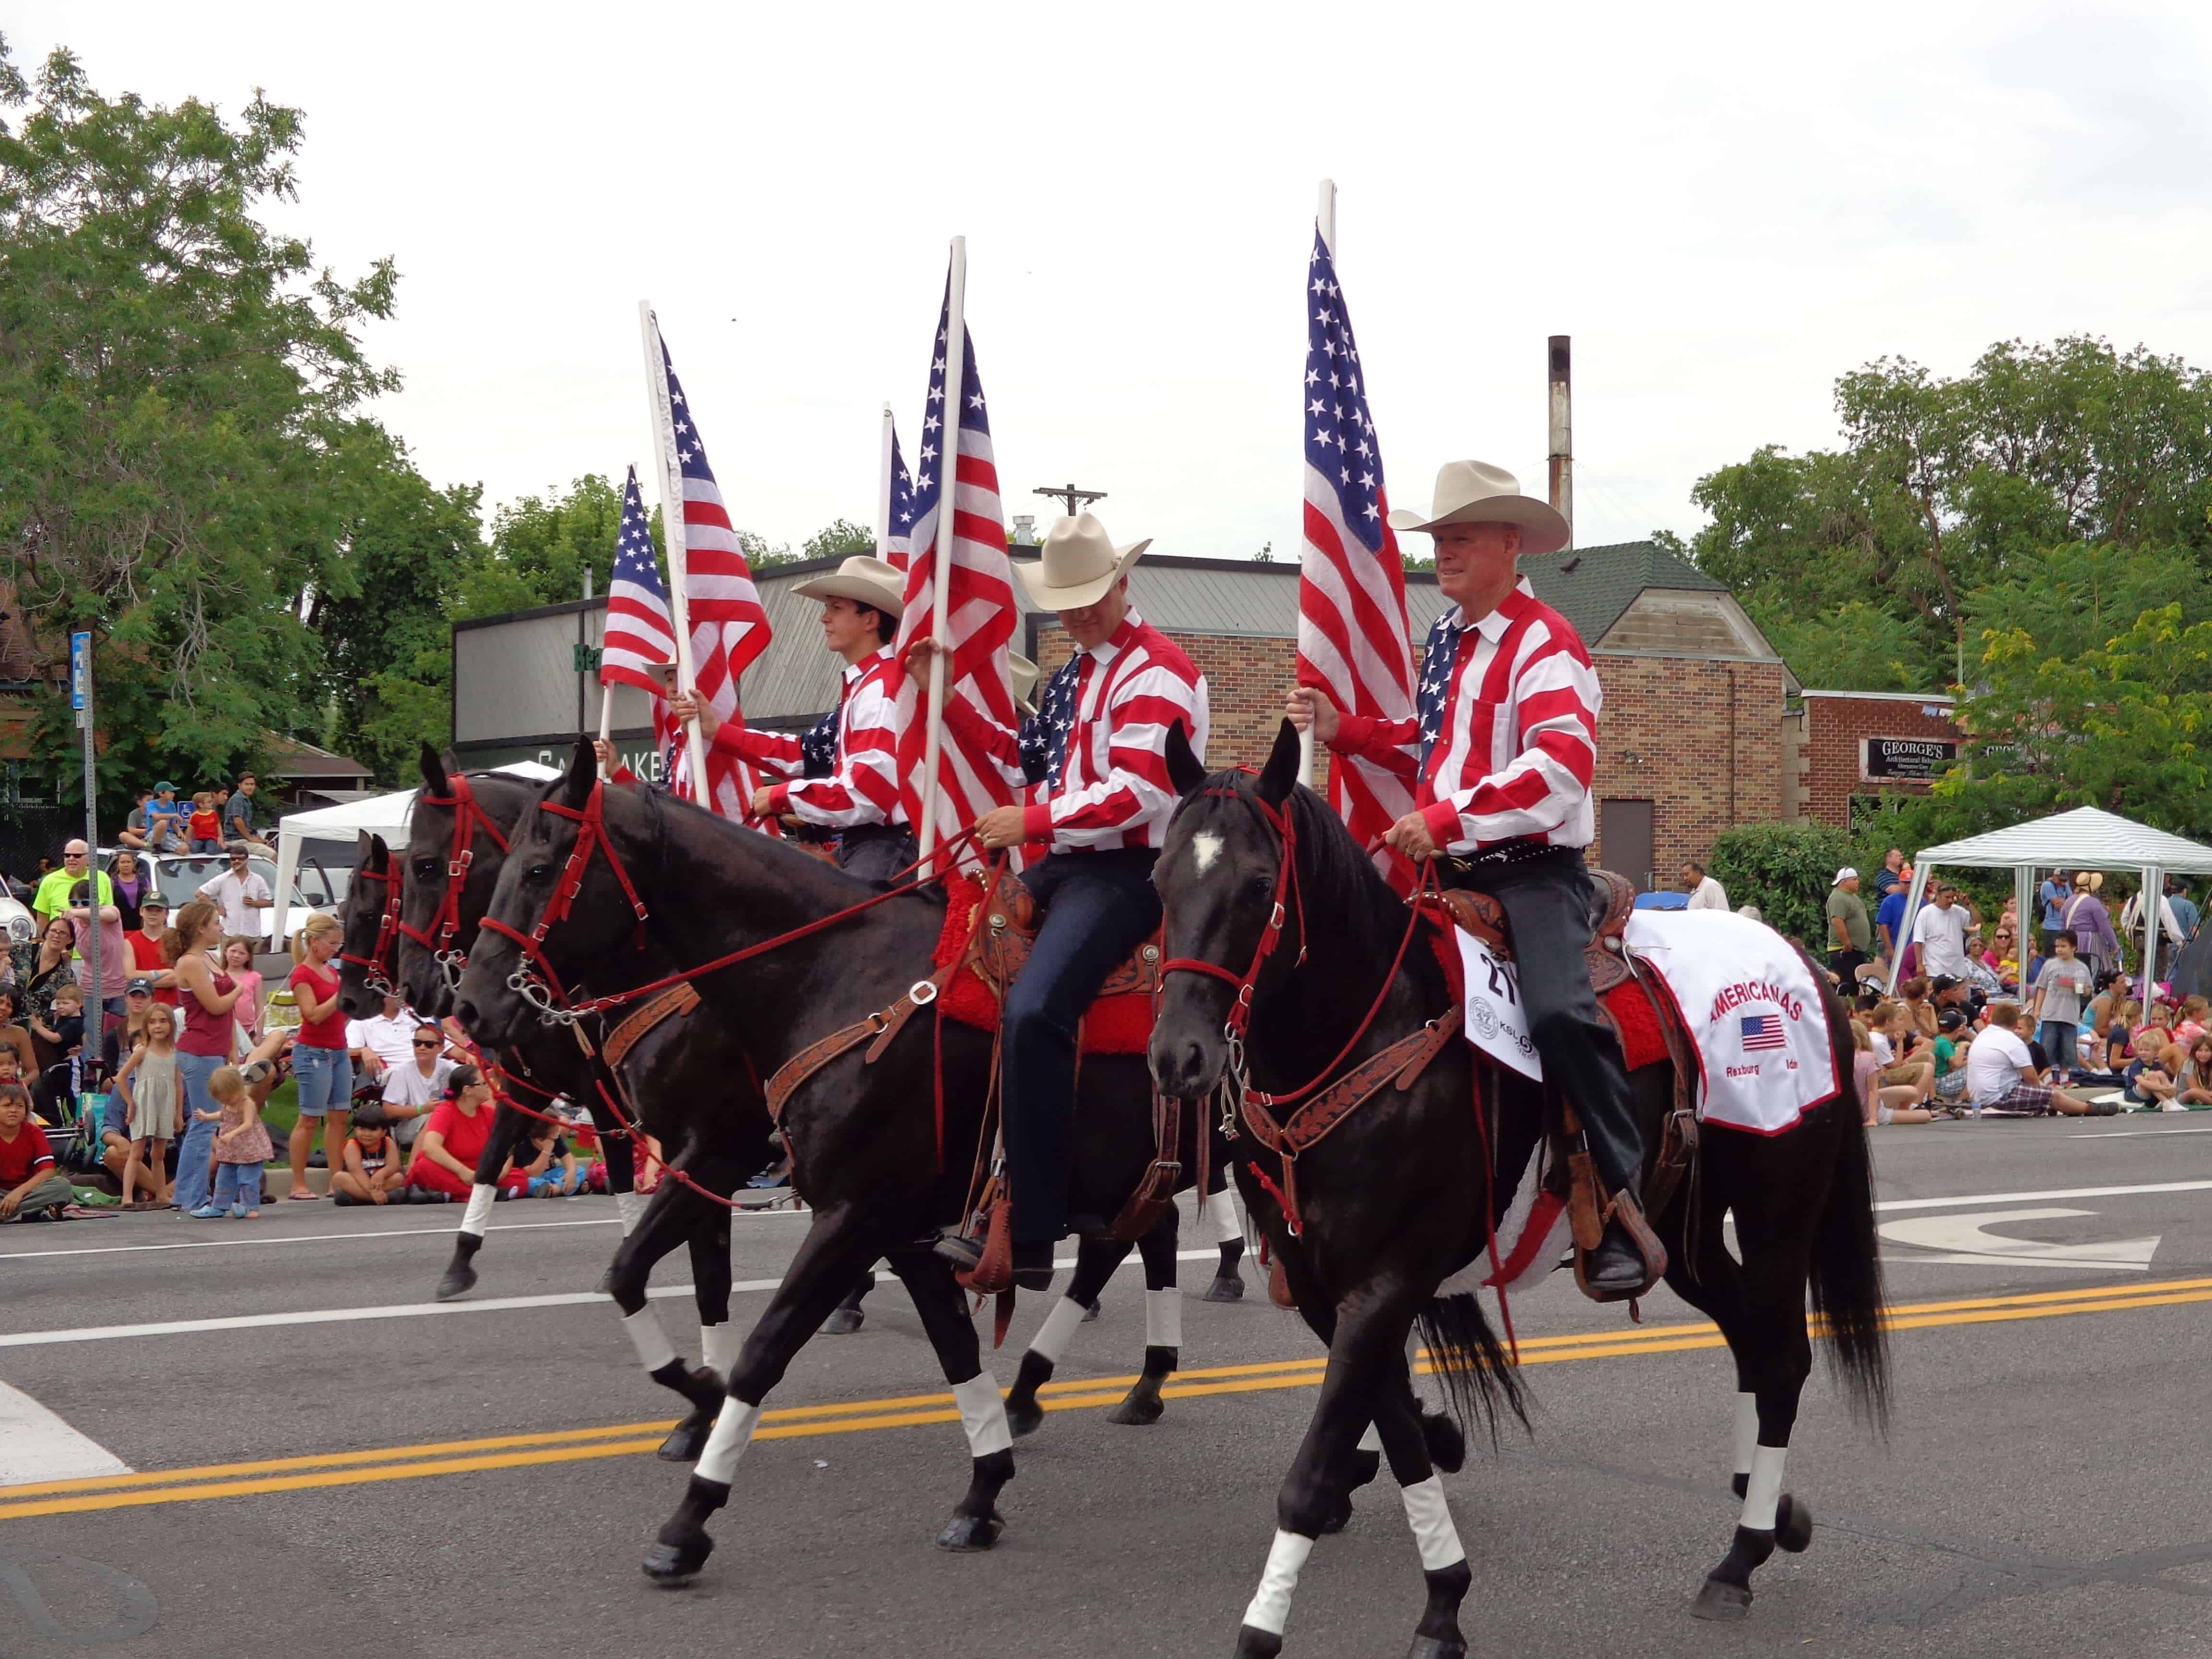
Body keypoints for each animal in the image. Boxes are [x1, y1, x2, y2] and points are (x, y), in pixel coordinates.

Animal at [1150, 725, 1893, 1659]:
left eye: (1257, 885)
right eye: (1158, 879)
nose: (1178, 1057)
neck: (1376, 1031)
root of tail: (1801, 967)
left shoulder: (1387, 1281)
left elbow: (1316, 1466)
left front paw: (1263, 1625)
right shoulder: (1331, 1289)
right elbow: (1397, 1436)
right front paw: (1443, 1600)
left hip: (1777, 1206)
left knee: (1784, 1355)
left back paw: (1739, 1559)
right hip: (1678, 1234)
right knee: (1753, 1345)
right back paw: (1766, 1521)